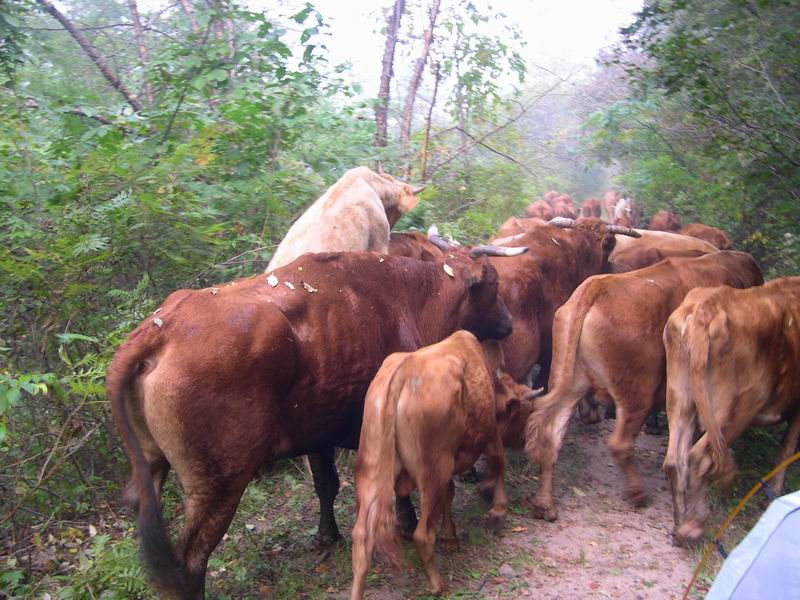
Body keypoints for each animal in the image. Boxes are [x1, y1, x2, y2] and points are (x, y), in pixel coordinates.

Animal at [349, 331, 542, 598]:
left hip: (372, 471)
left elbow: (450, 492)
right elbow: (499, 464)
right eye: (525, 412)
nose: (525, 441)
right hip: (434, 469)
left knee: (361, 539)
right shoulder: (490, 433)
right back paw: (438, 585)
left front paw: (449, 536)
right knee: (421, 535)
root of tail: (404, 371)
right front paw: (498, 511)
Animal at [524, 251, 763, 522]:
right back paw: (638, 494)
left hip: (571, 383)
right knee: (620, 443)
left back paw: (545, 505)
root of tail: (596, 288)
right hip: (638, 393)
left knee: (551, 435)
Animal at [662, 277, 800, 545]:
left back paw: (678, 524)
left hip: (680, 398)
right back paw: (692, 527)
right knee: (699, 456)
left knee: (675, 459)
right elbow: (785, 453)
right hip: (735, 409)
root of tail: (706, 308)